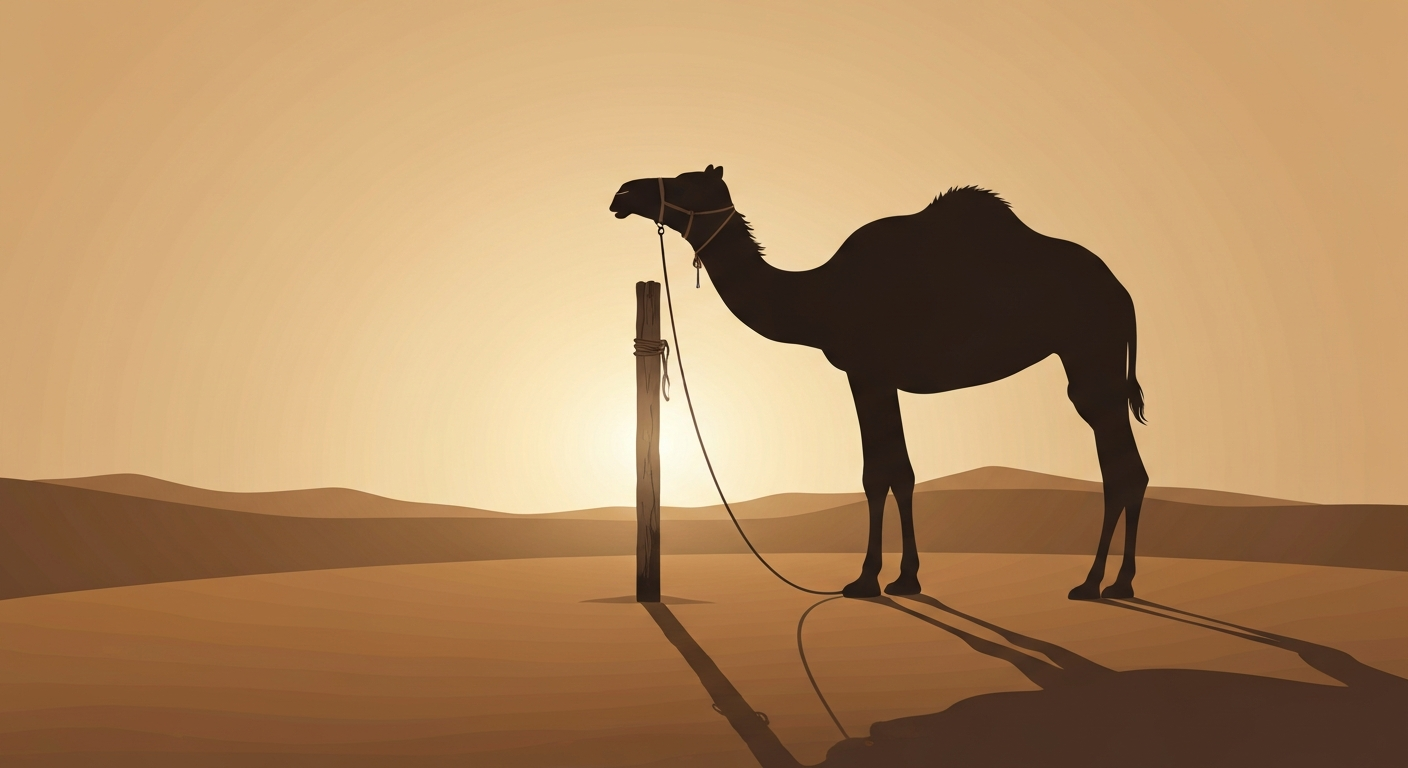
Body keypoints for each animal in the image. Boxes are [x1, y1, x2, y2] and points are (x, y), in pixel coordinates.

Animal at [610, 165, 1149, 600]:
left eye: (685, 182)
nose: (623, 192)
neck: (818, 296)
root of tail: (1123, 293)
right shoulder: (881, 378)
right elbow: (900, 473)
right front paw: (904, 577)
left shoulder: (865, 372)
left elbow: (876, 475)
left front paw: (869, 580)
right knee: (1129, 470)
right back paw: (1118, 582)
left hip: (1091, 357)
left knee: (1120, 467)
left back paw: (1096, 583)